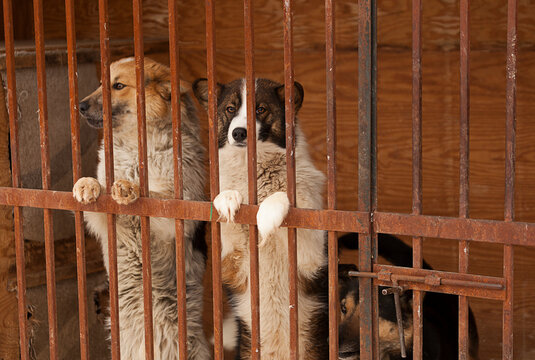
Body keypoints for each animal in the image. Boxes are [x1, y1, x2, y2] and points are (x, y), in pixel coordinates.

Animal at [73, 58, 211, 360]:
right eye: (100, 83)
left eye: (118, 85)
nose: (80, 106)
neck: (137, 150)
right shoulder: (101, 218)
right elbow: (99, 187)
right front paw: (86, 184)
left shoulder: (173, 214)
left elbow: (152, 195)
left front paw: (129, 187)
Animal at [191, 79, 328, 360]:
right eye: (230, 109)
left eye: (261, 109)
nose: (239, 133)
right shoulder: (231, 262)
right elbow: (228, 213)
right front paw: (228, 197)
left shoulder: (311, 258)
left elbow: (281, 199)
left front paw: (270, 210)